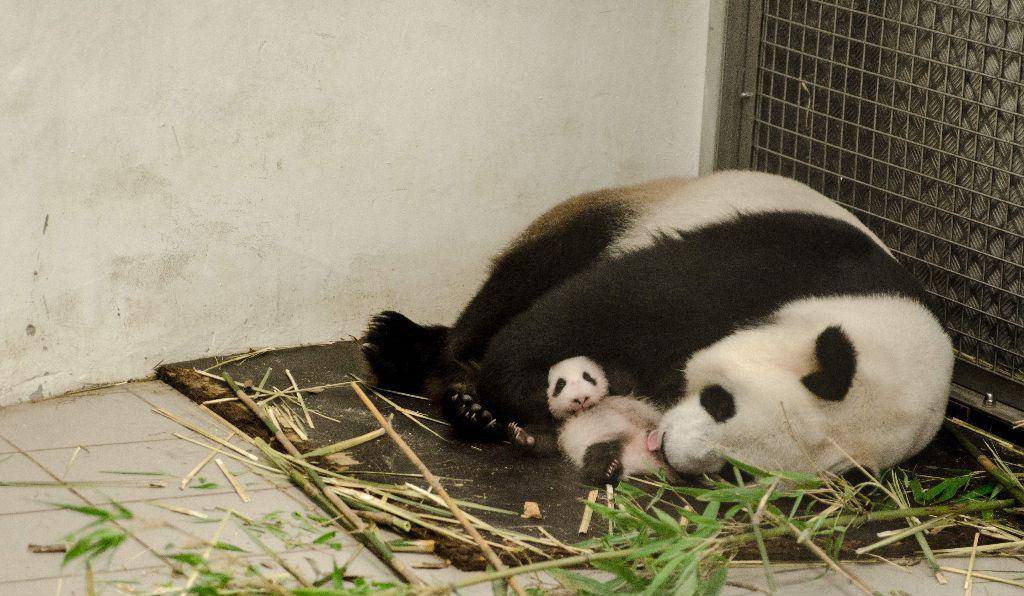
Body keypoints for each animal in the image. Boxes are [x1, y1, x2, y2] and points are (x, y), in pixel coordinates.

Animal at [360, 171, 950, 479]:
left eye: (737, 470)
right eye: (721, 401)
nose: (668, 451)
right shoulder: (780, 264)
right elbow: (620, 301)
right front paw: (526, 387)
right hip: (609, 215)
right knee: (510, 291)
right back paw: (425, 362)